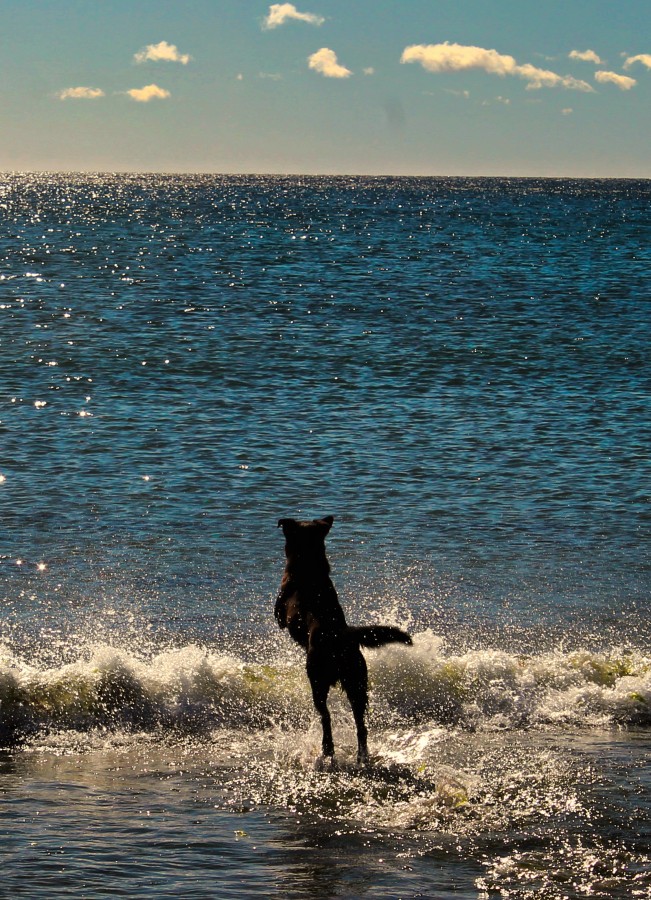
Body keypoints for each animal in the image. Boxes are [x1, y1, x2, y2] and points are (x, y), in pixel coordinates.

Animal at [276, 516, 412, 764]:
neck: (309, 566)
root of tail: (342, 636)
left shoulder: (280, 611)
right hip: (358, 682)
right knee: (361, 724)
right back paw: (362, 755)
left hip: (317, 680)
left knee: (326, 717)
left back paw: (328, 750)